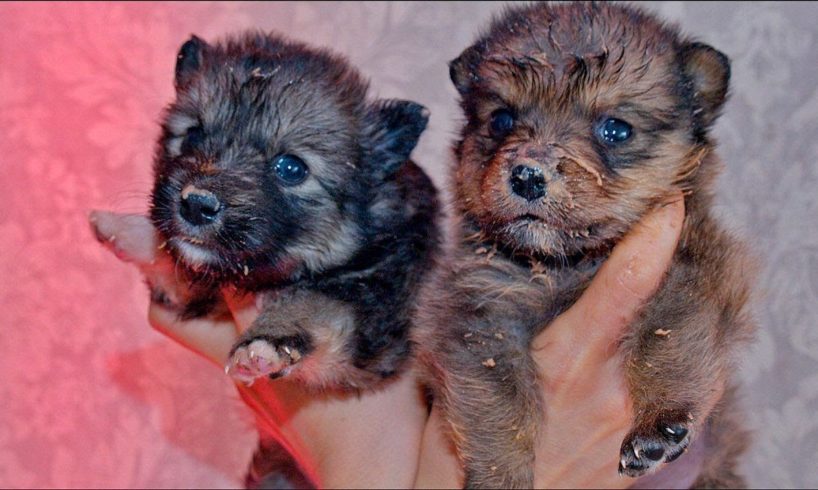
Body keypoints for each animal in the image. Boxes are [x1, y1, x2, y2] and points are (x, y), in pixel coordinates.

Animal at [149, 30, 436, 390]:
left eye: (291, 168)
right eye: (193, 136)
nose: (196, 205)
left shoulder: (379, 294)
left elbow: (312, 302)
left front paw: (267, 337)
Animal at [418, 1, 756, 488]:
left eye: (615, 129)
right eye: (501, 120)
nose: (527, 174)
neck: (567, 264)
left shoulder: (690, 275)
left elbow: (666, 340)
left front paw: (660, 419)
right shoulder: (479, 315)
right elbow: (499, 406)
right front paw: (501, 474)